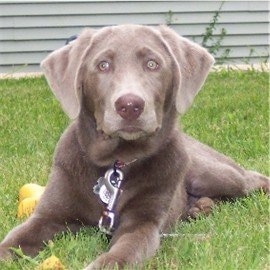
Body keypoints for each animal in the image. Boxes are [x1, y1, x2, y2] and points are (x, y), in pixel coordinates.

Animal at [0, 24, 268, 268]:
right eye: (103, 65)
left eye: (152, 64)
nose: (130, 105)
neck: (118, 162)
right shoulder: (48, 215)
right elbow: (14, 240)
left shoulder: (143, 223)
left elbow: (122, 253)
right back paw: (200, 208)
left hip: (211, 174)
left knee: (252, 179)